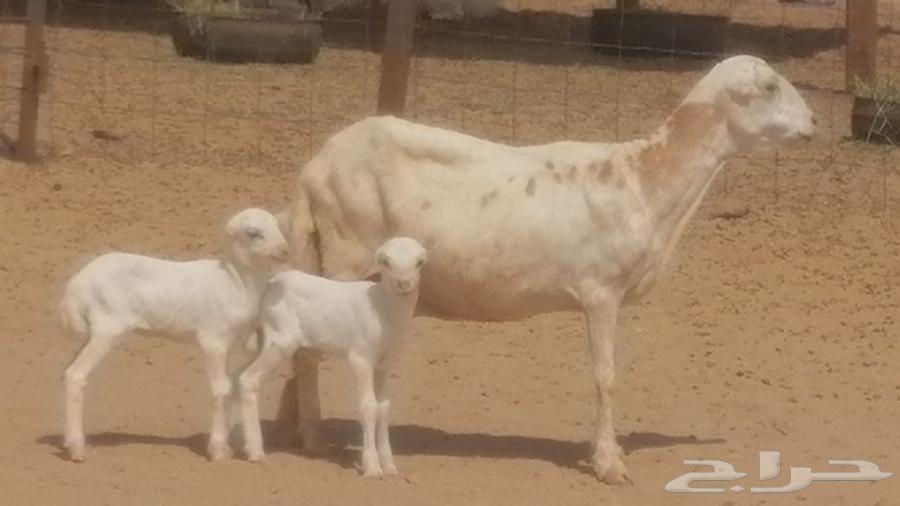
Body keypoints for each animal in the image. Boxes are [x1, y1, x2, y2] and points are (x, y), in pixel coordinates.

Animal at [59, 207, 290, 462]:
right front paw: (218, 450)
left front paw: (226, 448)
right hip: (107, 328)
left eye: (278, 226)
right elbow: (221, 390)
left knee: (67, 373)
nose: (285, 251)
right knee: (76, 375)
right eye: (252, 232)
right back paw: (77, 449)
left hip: (90, 334)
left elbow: (228, 386)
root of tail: (74, 287)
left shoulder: (229, 343)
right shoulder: (213, 340)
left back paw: (68, 442)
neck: (235, 283)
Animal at [237, 237, 427, 478]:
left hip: (266, 339)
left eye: (419, 262)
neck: (382, 308)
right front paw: (372, 467)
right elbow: (368, 407)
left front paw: (390, 466)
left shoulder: (384, 364)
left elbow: (383, 408)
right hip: (281, 339)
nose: (403, 283)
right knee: (248, 379)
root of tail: (269, 287)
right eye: (385, 262)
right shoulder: (361, 359)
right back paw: (255, 451)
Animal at [274, 54, 817, 484]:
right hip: (347, 256)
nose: (814, 122)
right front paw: (609, 463)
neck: (645, 181)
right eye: (770, 86)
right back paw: (319, 438)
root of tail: (315, 167)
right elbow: (605, 375)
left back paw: (300, 429)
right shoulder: (601, 291)